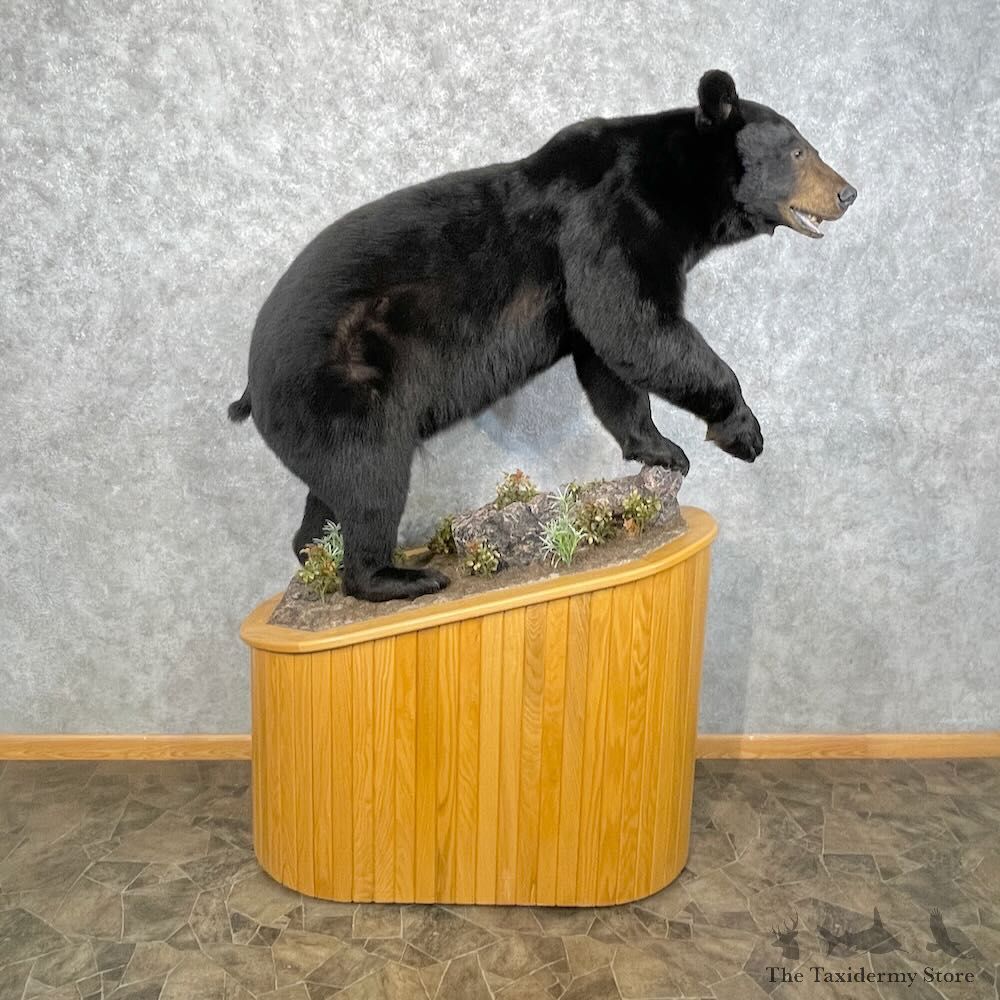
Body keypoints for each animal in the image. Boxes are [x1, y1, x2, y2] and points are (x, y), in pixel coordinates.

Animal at [229, 70, 856, 602]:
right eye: (800, 150)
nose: (848, 192)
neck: (671, 184)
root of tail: (250, 387)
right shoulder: (609, 220)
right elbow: (633, 324)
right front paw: (742, 431)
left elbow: (609, 357)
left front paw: (661, 450)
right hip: (343, 379)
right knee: (371, 474)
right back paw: (399, 576)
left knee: (334, 490)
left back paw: (317, 555)